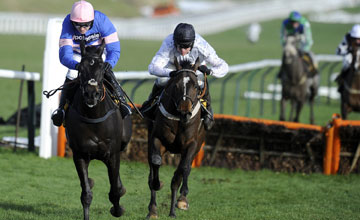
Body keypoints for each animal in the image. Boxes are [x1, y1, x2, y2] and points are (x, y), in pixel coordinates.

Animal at [146, 57, 207, 218]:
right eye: (176, 85)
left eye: (196, 86)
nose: (185, 112)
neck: (179, 120)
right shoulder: (157, 139)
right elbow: (156, 162)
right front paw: (157, 184)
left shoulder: (191, 144)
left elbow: (184, 168)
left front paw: (182, 196)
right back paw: (153, 210)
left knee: (180, 174)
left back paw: (175, 207)